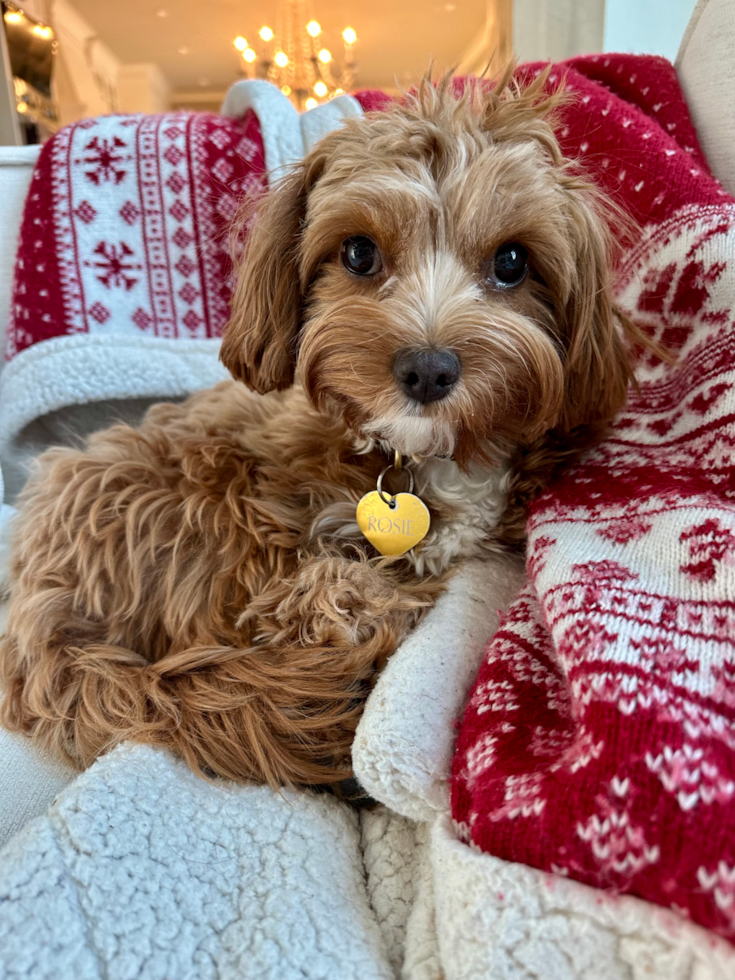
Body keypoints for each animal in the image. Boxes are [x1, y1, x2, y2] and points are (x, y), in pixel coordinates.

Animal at [0, 71, 636, 788]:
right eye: (359, 252)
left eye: (511, 263)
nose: (427, 369)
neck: (424, 457)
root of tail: (40, 615)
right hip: (193, 493)